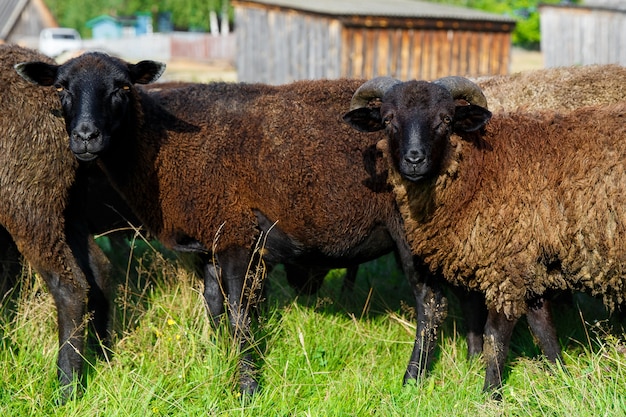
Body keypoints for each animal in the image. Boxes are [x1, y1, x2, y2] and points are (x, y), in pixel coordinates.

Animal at [344, 75, 624, 396]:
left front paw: (491, 394)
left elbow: (495, 336)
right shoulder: (528, 263)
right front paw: (561, 378)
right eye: (388, 119)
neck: (478, 173)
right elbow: (544, 329)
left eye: (446, 119)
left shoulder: (506, 267)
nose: (414, 159)